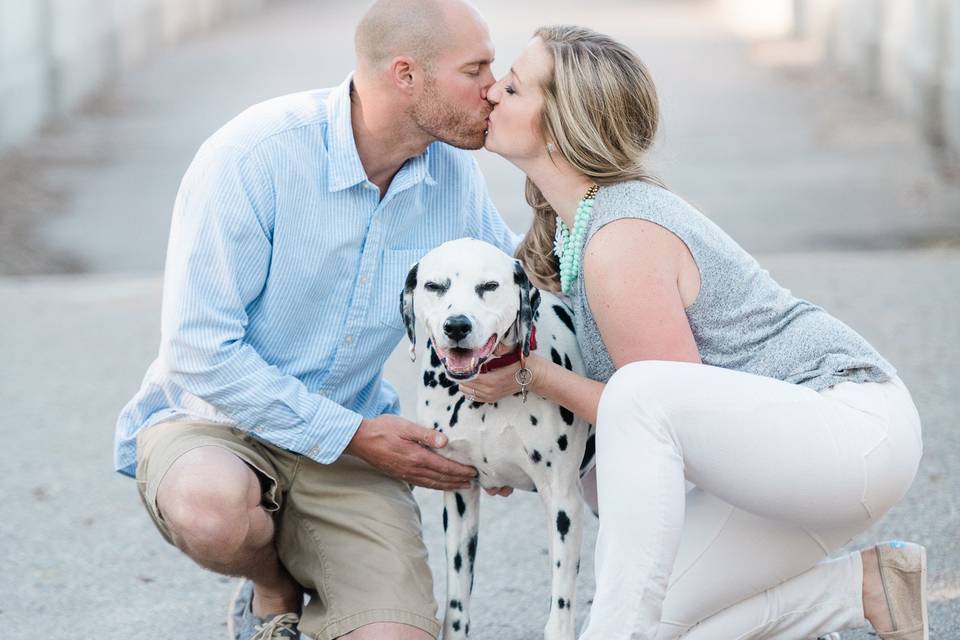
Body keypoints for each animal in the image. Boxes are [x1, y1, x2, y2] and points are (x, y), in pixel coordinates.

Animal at [398, 239, 592, 640]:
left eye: (489, 286)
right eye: (434, 286)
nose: (457, 325)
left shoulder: (563, 501)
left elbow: (560, 609)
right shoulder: (459, 495)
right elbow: (457, 606)